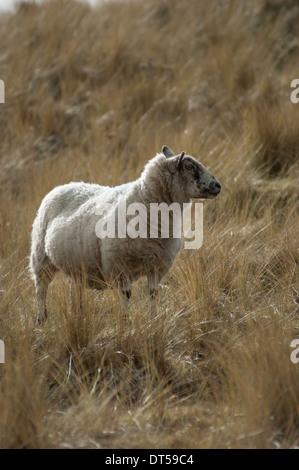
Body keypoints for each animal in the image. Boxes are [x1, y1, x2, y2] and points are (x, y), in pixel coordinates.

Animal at [30, 147, 221, 324]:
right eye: (189, 166)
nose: (218, 186)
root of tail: (63, 186)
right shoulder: (119, 265)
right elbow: (126, 294)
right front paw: (126, 322)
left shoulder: (158, 265)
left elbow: (153, 293)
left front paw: (154, 320)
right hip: (41, 256)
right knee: (41, 289)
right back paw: (41, 318)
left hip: (76, 264)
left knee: (75, 290)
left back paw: (78, 314)